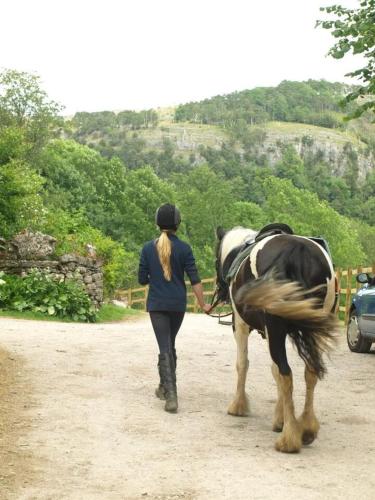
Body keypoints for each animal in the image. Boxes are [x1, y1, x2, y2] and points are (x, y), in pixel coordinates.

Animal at [216, 226, 340, 454]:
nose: (220, 291)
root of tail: (297, 251)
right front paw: (281, 417)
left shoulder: (241, 325)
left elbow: (244, 364)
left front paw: (239, 406)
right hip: (313, 328)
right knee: (310, 372)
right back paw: (307, 429)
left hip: (274, 329)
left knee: (285, 372)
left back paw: (289, 438)